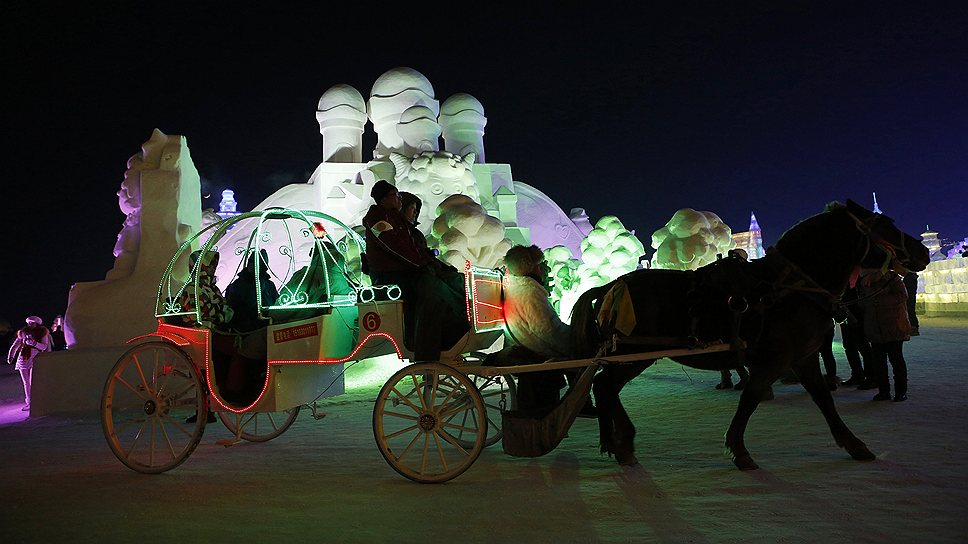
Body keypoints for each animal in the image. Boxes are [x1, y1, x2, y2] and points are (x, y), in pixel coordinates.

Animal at [576, 202, 932, 470]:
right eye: (886, 224)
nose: (924, 252)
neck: (791, 287)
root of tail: (612, 285)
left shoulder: (803, 358)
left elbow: (824, 400)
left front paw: (855, 445)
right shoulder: (775, 359)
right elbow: (750, 399)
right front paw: (739, 450)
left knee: (602, 386)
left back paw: (614, 442)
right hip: (633, 354)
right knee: (604, 386)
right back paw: (623, 442)